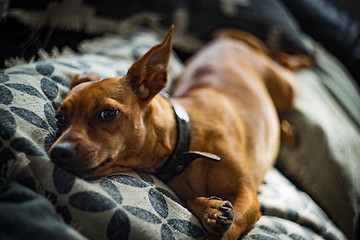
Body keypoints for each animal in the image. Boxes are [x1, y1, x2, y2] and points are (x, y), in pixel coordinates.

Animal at [50, 25, 304, 239]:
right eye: (60, 119)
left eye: (108, 113)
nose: (58, 152)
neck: (186, 140)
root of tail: (223, 40)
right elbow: (191, 201)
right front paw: (209, 207)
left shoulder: (247, 196)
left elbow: (226, 231)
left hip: (287, 89)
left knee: (285, 62)